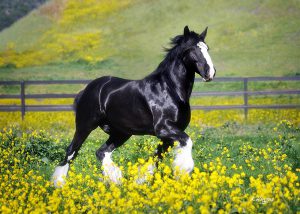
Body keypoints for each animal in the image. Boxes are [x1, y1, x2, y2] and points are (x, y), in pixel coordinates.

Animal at [52, 25, 216, 186]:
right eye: (192, 49)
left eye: (207, 48)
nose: (210, 73)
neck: (170, 89)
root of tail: (87, 90)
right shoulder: (164, 129)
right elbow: (187, 142)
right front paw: (182, 171)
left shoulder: (169, 135)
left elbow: (156, 157)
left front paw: (141, 180)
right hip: (85, 126)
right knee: (70, 153)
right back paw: (59, 185)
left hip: (121, 133)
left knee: (101, 152)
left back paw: (115, 180)